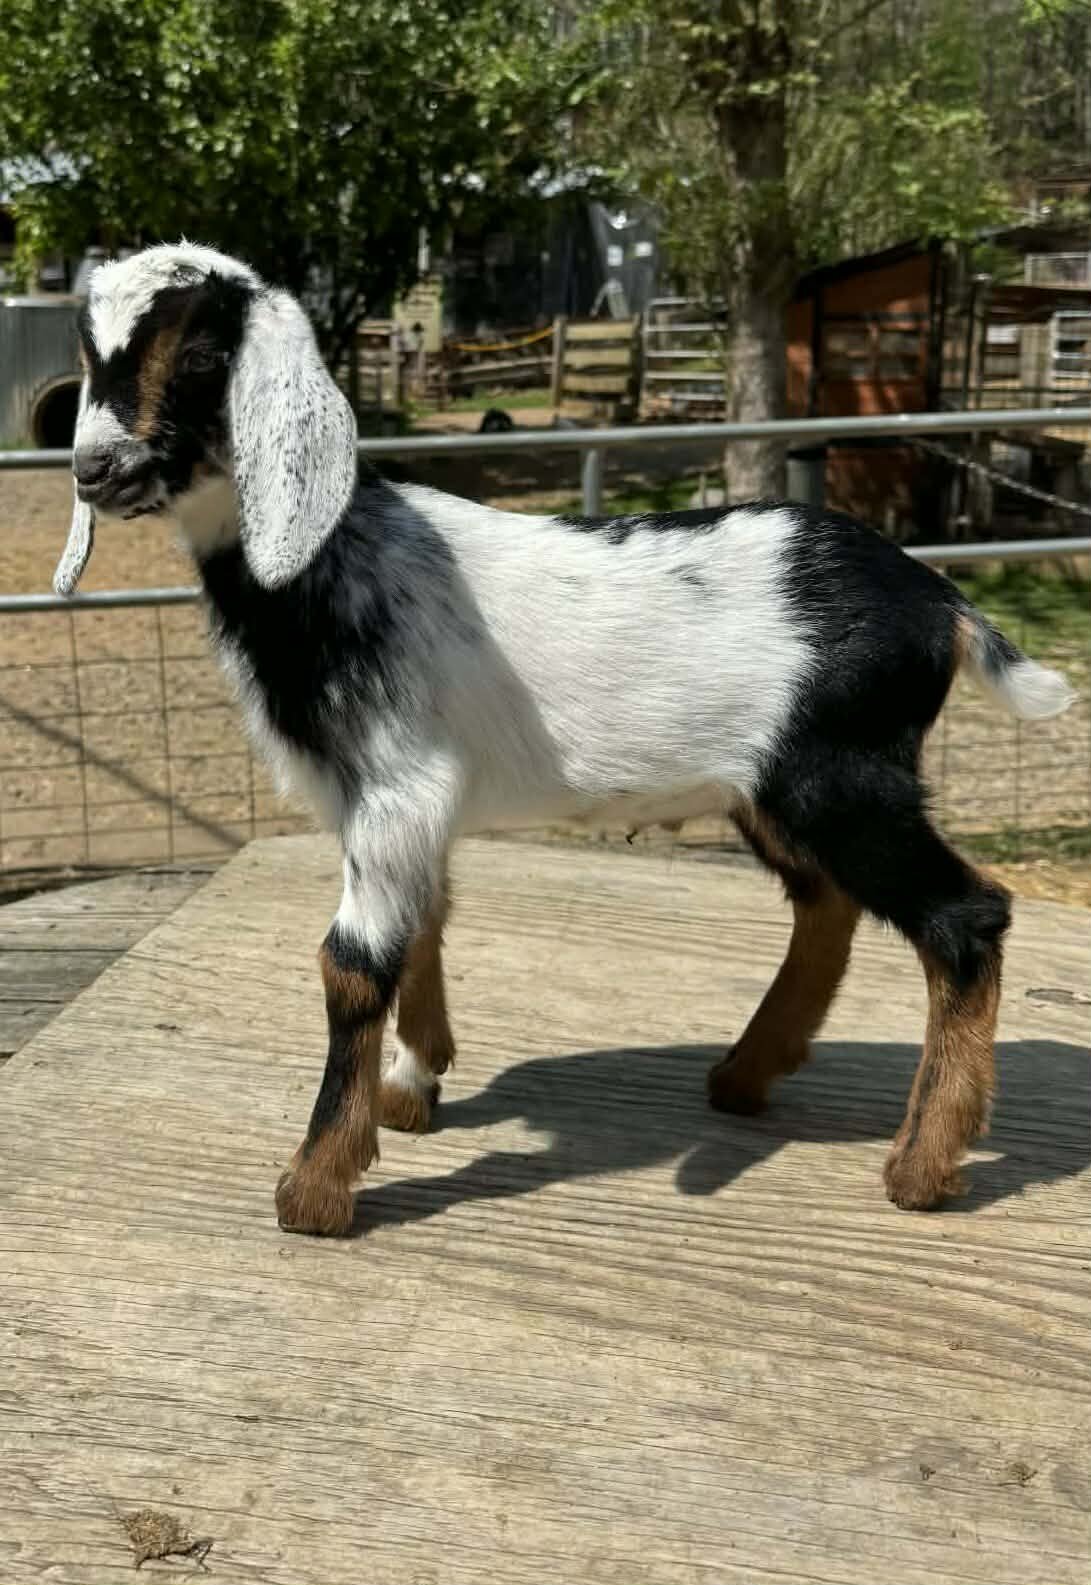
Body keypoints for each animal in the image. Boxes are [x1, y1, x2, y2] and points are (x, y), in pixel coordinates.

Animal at [58, 243, 1074, 1236]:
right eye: (92, 357)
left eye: (201, 356)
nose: (96, 469)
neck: (332, 561)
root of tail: (940, 601)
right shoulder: (403, 810)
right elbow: (426, 920)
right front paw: (412, 1084)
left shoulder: (397, 786)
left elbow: (353, 963)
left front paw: (314, 1189)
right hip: (779, 791)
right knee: (826, 901)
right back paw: (747, 1073)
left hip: (843, 774)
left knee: (963, 914)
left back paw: (922, 1165)